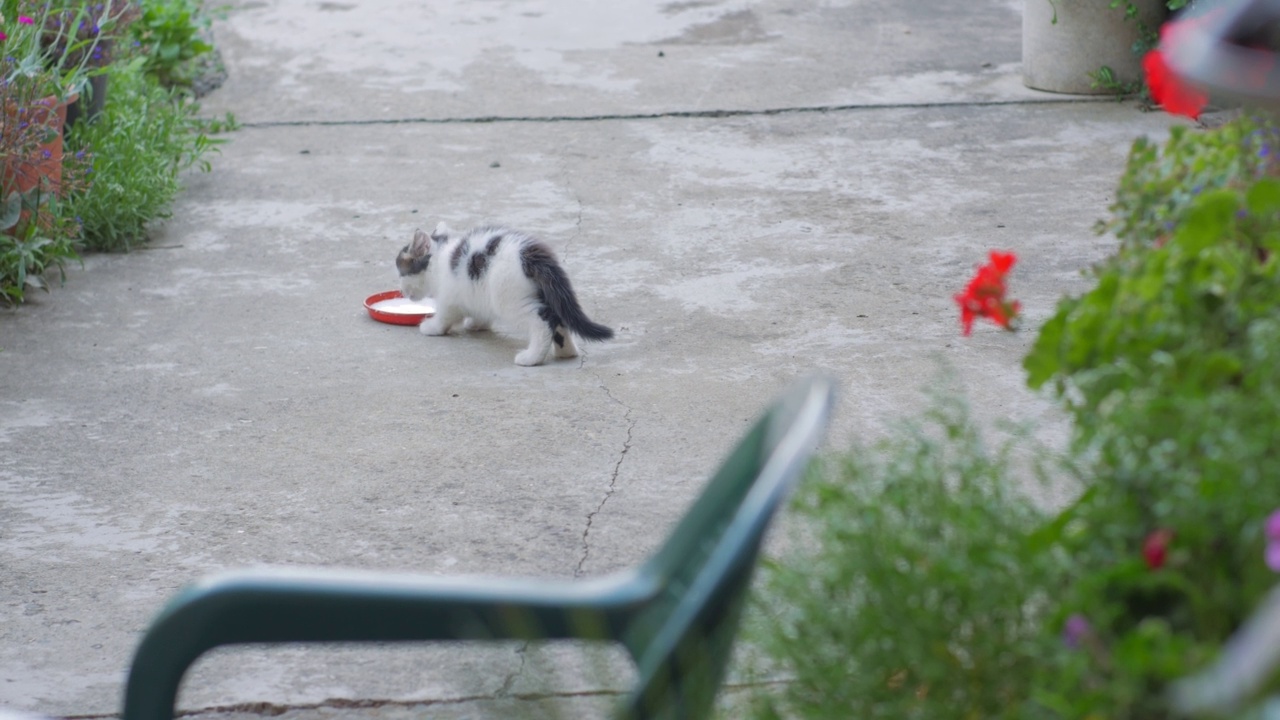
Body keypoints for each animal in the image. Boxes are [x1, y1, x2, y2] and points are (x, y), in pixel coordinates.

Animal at [394, 221, 614, 363]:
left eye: (401, 272)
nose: (402, 290)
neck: (439, 262)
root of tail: (532, 256)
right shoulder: (475, 293)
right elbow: (479, 312)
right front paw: (477, 324)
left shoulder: (449, 298)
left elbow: (445, 316)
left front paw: (432, 327)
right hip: (547, 294)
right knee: (557, 319)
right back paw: (566, 352)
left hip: (509, 299)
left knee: (542, 322)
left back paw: (532, 357)